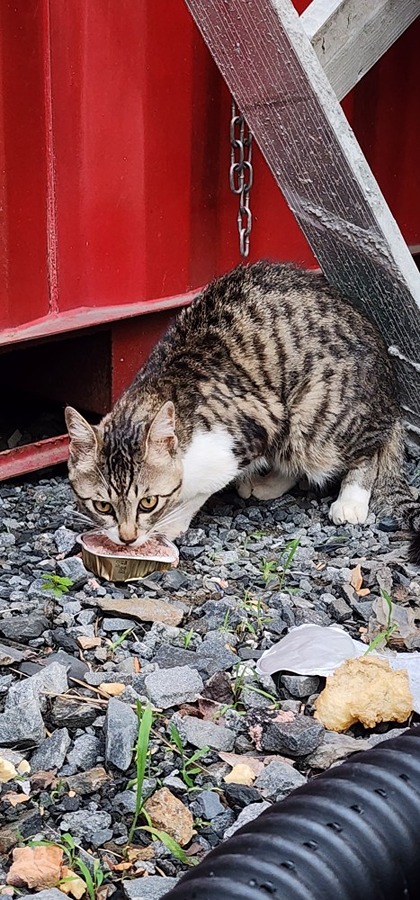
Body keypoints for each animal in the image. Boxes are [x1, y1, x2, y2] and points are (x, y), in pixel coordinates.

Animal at [65, 256, 420, 564]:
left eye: (148, 502)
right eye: (102, 505)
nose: (127, 538)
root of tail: (389, 393)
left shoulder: (252, 427)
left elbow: (198, 491)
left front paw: (170, 524)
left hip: (315, 418)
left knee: (366, 448)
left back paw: (350, 500)